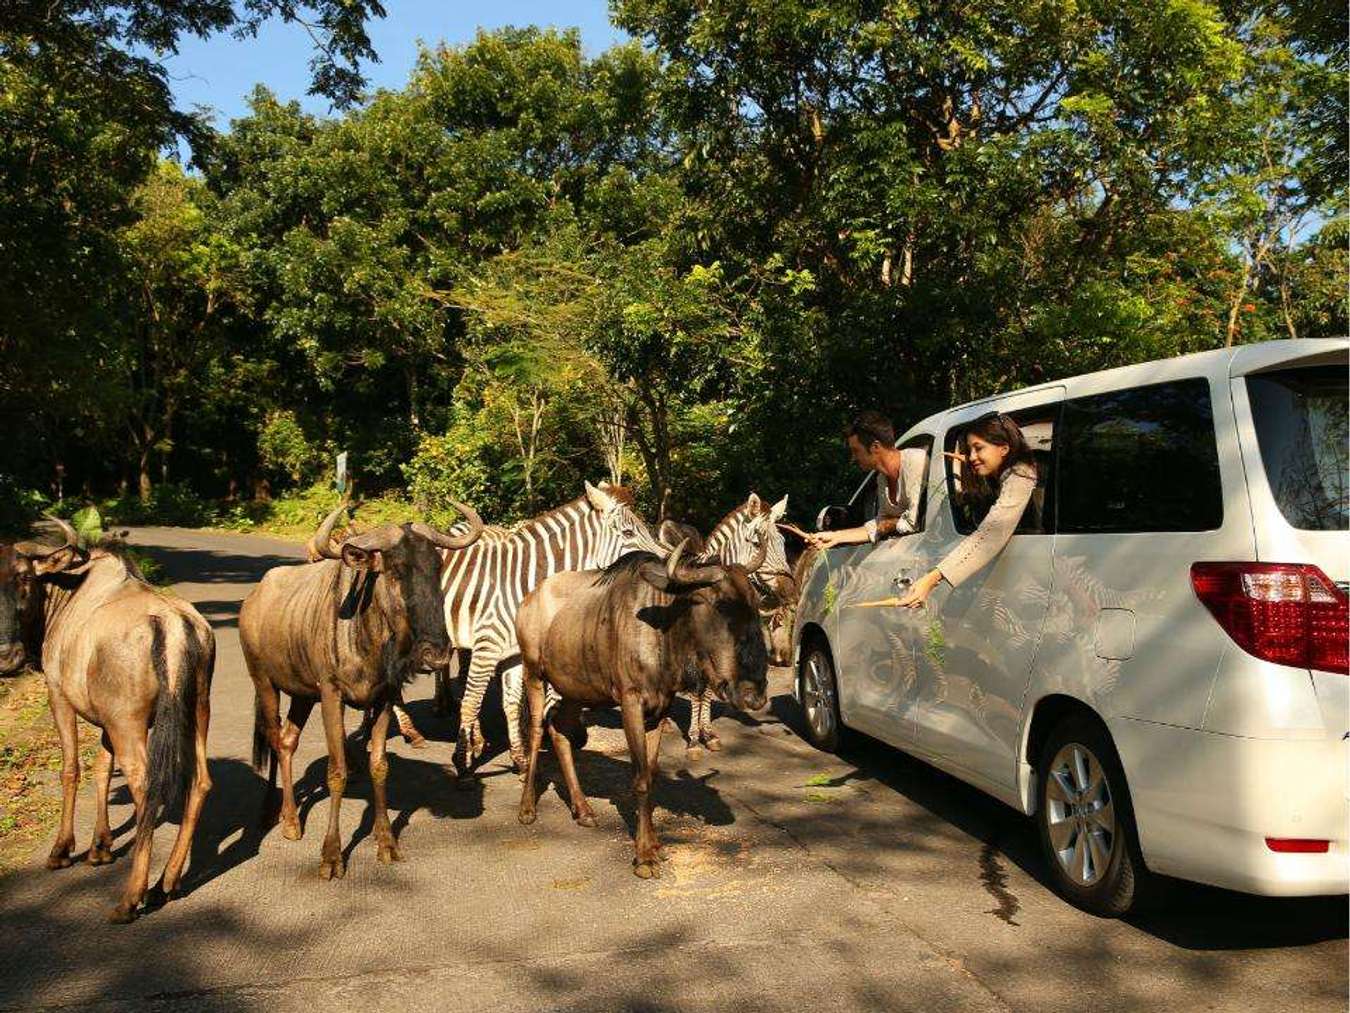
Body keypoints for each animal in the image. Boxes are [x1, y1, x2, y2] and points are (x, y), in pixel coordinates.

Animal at [440, 480, 666, 783]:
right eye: (628, 533)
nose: (666, 569)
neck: (523, 580)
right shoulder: (487, 645)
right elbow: (471, 702)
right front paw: (462, 766)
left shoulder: (513, 653)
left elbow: (511, 704)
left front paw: (521, 763)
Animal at [675, 497, 788, 756]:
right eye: (757, 543)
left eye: (784, 542)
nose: (789, 589)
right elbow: (696, 692)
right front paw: (694, 740)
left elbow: (707, 691)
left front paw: (708, 735)